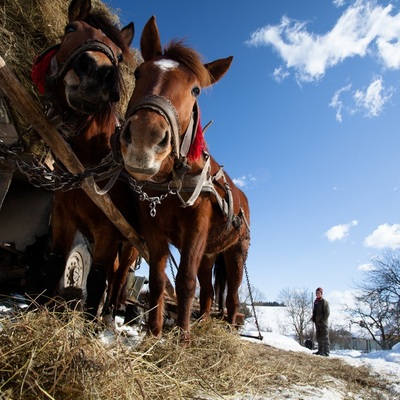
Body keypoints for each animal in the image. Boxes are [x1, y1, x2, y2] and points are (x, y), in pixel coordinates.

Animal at [30, 0, 138, 320]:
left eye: (118, 56)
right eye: (70, 28)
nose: (96, 72)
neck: (88, 162)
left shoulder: (108, 232)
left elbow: (98, 277)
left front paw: (91, 323)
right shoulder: (63, 216)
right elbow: (54, 261)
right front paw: (40, 308)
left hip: (129, 244)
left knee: (119, 275)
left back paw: (112, 310)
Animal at [120, 16, 250, 340]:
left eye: (196, 91)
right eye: (139, 72)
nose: (144, 139)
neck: (172, 180)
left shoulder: (196, 227)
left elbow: (185, 282)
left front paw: (182, 340)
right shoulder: (153, 228)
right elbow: (157, 279)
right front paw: (154, 334)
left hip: (236, 254)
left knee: (231, 296)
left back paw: (228, 329)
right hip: (209, 254)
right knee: (208, 292)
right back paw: (202, 322)